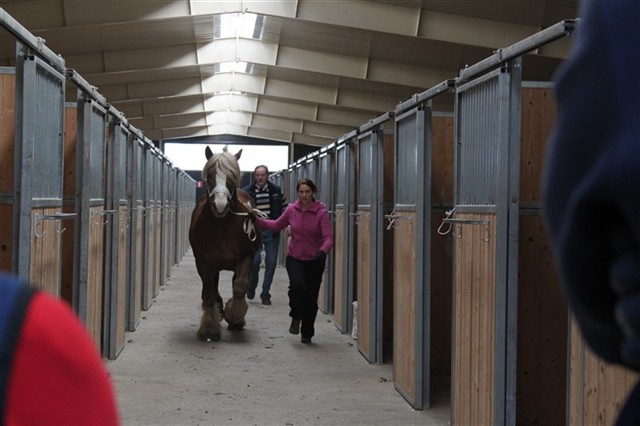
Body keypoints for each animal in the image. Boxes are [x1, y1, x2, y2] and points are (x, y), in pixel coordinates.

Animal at [189, 146, 262, 342]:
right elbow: (208, 293)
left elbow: (240, 286)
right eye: (210, 175)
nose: (220, 205)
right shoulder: (204, 263)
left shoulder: (246, 258)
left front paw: (234, 316)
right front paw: (209, 328)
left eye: (232, 176)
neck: (222, 226)